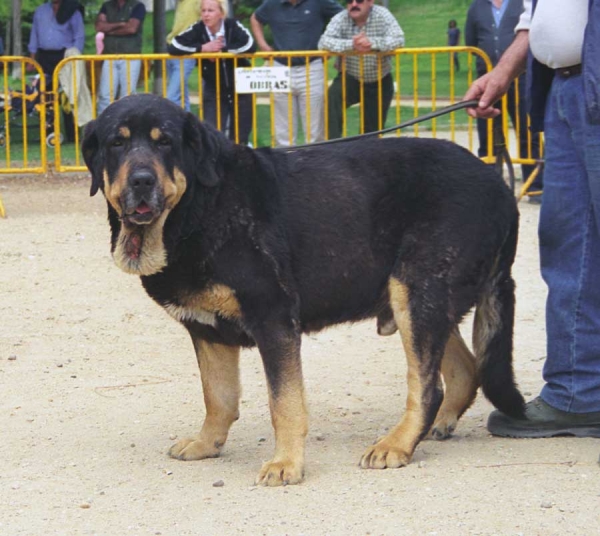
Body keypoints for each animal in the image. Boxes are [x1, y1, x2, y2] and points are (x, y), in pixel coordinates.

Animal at [83, 94, 524, 488]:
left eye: (166, 143)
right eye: (116, 143)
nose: (141, 180)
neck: (198, 208)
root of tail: (500, 186)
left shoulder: (274, 320)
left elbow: (285, 403)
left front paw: (286, 464)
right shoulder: (207, 330)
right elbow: (218, 396)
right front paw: (208, 443)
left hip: (417, 292)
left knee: (428, 386)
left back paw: (397, 444)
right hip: (419, 300)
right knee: (465, 369)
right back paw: (438, 425)